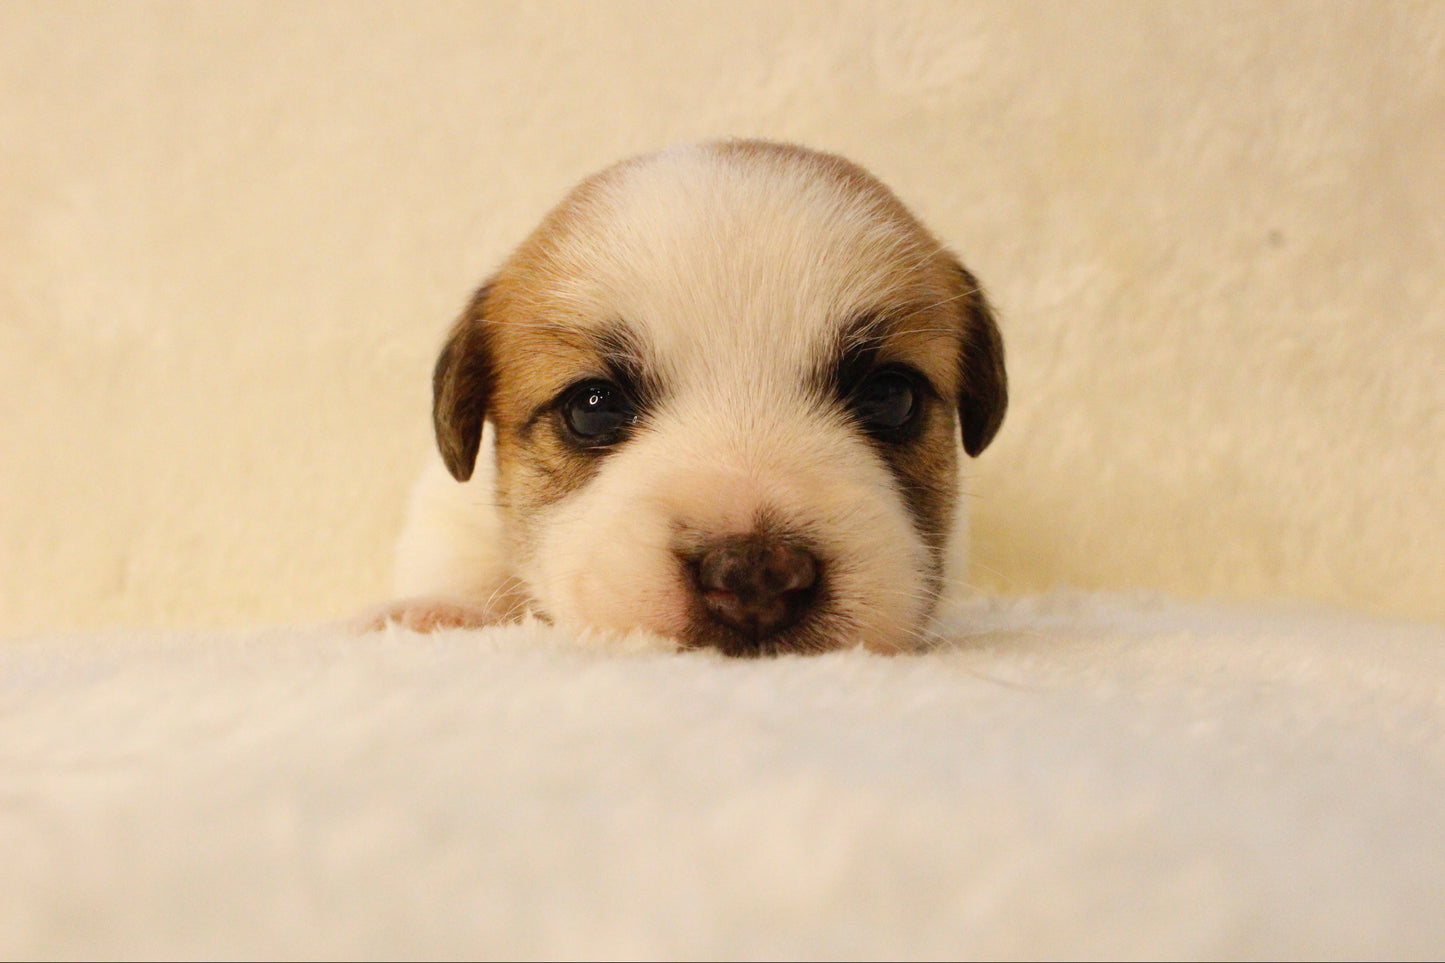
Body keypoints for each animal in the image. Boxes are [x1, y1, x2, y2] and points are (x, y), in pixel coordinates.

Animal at [372, 140, 1005, 653]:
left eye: (890, 397)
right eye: (591, 409)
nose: (756, 574)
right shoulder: (450, 505)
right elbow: (452, 552)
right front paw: (435, 611)